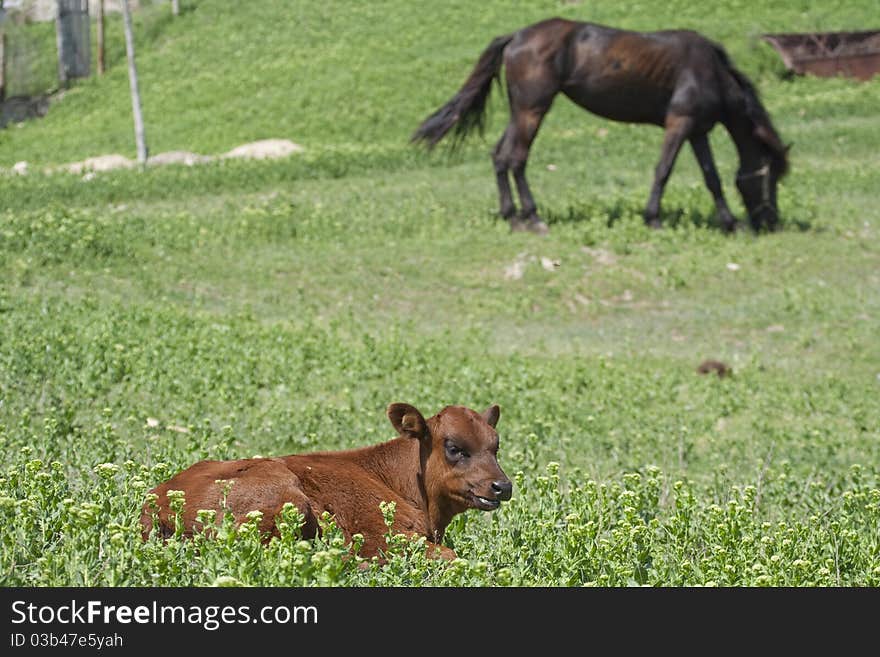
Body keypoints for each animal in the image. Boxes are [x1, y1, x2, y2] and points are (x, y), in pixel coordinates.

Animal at [140, 402, 512, 556]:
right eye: (454, 447)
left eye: (496, 446)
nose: (503, 486)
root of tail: (157, 501)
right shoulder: (384, 536)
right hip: (287, 495)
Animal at [412, 17, 792, 236]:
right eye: (772, 175)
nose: (771, 221)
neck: (710, 71)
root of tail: (517, 36)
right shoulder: (678, 124)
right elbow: (663, 170)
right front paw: (653, 219)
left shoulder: (697, 131)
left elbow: (711, 177)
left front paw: (729, 223)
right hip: (533, 110)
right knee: (516, 159)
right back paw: (532, 218)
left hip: (520, 111)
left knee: (500, 156)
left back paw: (512, 216)